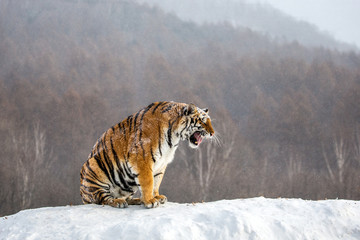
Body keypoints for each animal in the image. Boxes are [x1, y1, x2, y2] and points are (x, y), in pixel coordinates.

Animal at [79, 101, 214, 208]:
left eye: (209, 121)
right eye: (203, 121)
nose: (212, 133)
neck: (174, 137)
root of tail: (83, 196)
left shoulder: (161, 163)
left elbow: (156, 182)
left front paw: (156, 197)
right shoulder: (141, 158)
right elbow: (148, 181)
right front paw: (150, 201)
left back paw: (136, 200)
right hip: (93, 168)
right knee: (102, 198)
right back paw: (119, 202)